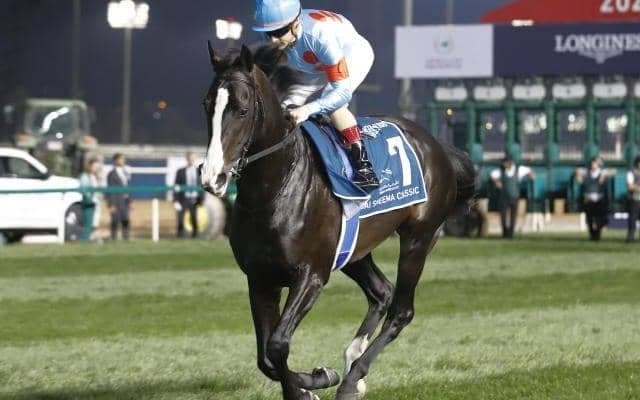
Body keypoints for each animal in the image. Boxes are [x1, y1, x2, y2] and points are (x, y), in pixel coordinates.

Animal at [200, 44, 476, 400]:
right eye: (208, 106)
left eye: (242, 109)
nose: (212, 177)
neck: (276, 189)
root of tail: (435, 144)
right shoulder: (260, 279)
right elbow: (265, 358)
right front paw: (311, 382)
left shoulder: (311, 276)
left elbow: (277, 345)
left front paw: (311, 384)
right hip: (354, 250)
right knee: (381, 293)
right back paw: (351, 361)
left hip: (419, 237)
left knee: (401, 311)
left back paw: (351, 377)